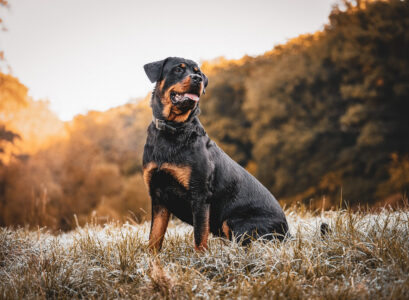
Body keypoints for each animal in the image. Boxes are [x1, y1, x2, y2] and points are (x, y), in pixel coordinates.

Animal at [142, 56, 288, 251]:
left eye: (197, 72)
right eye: (178, 69)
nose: (198, 79)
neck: (173, 129)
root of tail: (288, 232)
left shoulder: (199, 194)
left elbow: (199, 237)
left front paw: (200, 259)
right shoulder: (158, 195)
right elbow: (154, 238)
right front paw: (151, 260)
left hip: (236, 222)